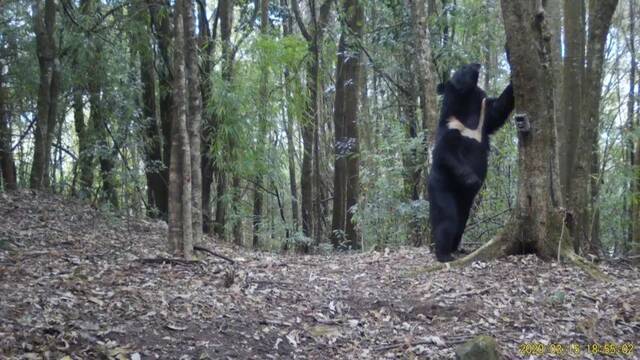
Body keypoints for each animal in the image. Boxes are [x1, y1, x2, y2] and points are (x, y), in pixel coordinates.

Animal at [430, 63, 516, 262]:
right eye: (462, 68)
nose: (477, 64)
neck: (466, 103)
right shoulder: (450, 127)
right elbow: (446, 153)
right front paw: (473, 180)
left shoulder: (484, 120)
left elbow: (498, 109)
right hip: (440, 185)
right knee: (447, 219)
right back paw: (444, 254)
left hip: (465, 201)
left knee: (461, 221)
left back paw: (456, 248)